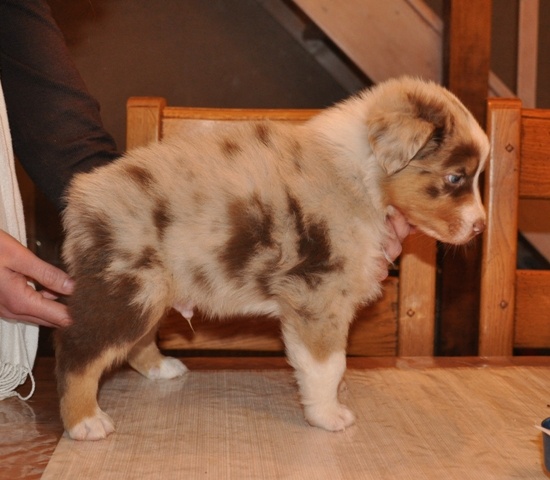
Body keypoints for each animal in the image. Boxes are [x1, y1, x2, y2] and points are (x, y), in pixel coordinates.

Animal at [56, 77, 489, 440]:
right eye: (455, 177)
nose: (481, 227)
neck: (362, 176)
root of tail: (82, 196)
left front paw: (335, 396)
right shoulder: (318, 292)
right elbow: (327, 363)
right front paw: (328, 414)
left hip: (153, 291)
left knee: (135, 342)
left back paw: (161, 368)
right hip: (126, 289)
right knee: (80, 351)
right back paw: (85, 421)